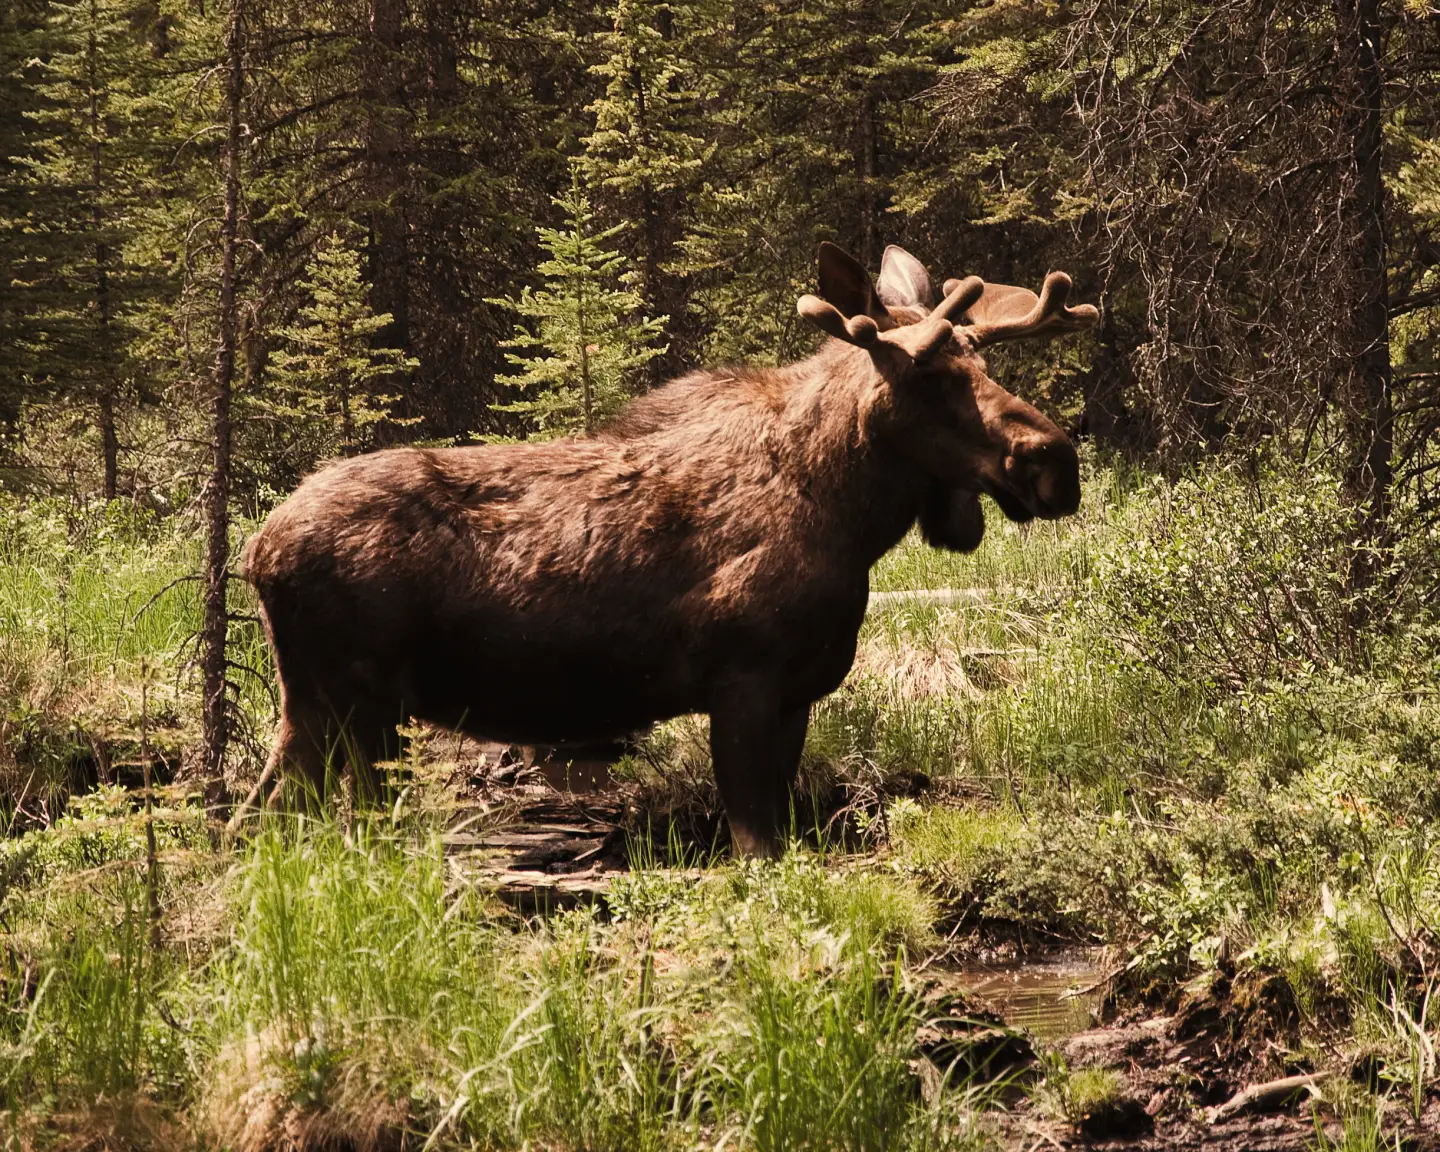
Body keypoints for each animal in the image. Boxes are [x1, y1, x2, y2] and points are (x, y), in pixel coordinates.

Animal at [238, 242, 1098, 854]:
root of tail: (256, 553)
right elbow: (758, 846)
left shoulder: (797, 692)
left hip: (307, 704)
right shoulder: (743, 680)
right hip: (365, 702)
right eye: (929, 378)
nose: (1053, 460)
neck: (848, 518)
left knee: (259, 821)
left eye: (983, 363)